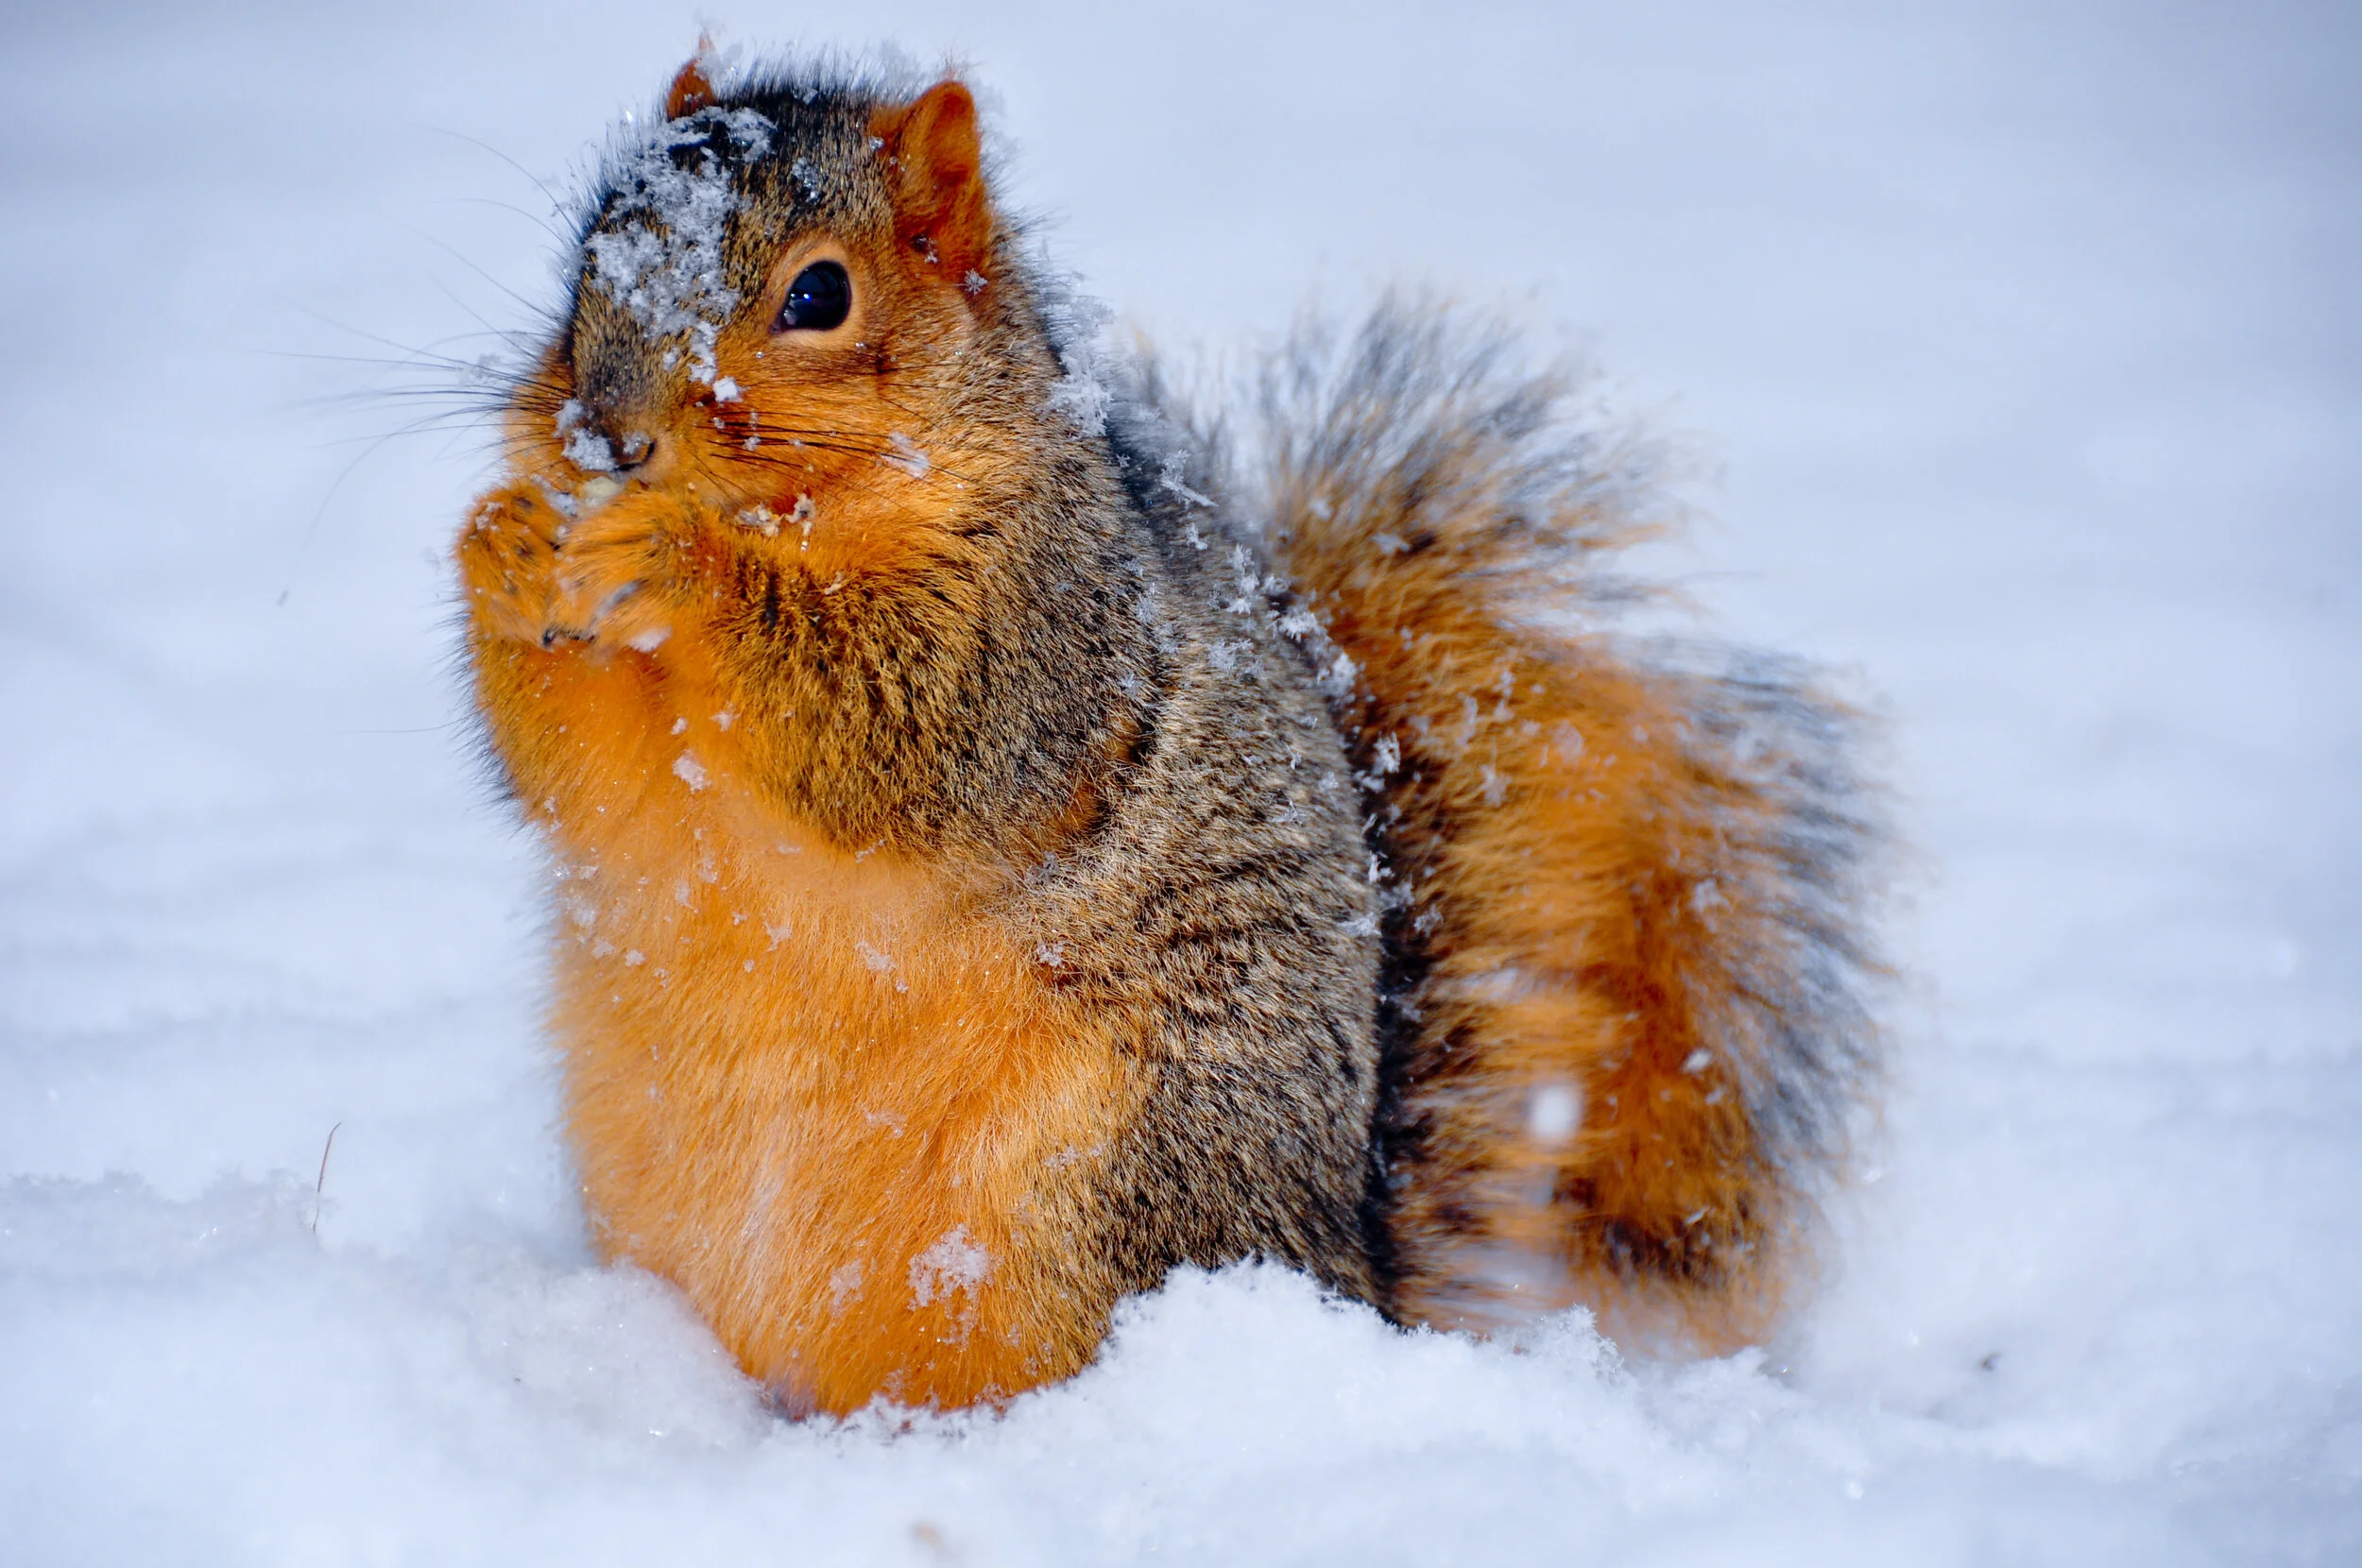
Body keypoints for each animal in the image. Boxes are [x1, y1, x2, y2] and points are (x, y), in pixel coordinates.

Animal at [454, 51, 1880, 1417]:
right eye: (588, 259)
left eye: (819, 297)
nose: (605, 436)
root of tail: (1348, 1276)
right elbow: (592, 790)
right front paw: (506, 541)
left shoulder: (1046, 626)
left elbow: (910, 727)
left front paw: (669, 556)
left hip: (1097, 1183)